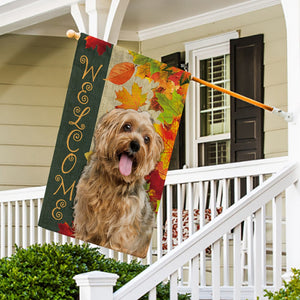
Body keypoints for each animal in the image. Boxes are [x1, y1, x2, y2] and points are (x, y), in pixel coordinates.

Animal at [73, 109, 164, 256]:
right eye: (127, 126)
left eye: (146, 139)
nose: (135, 145)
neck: (113, 180)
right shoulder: (84, 213)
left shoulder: (123, 226)